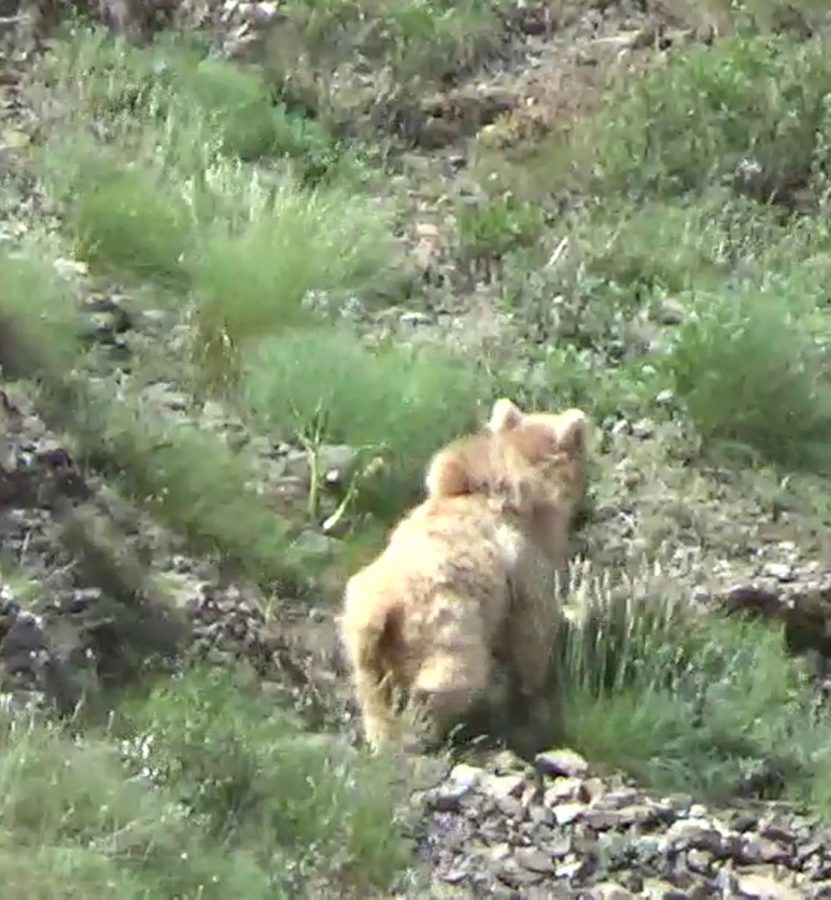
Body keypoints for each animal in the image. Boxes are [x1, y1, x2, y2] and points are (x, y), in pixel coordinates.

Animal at [340, 398, 592, 748]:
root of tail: (382, 609)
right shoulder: (526, 560)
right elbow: (533, 623)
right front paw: (536, 684)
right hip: (446, 626)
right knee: (449, 678)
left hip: (365, 645)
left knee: (374, 697)